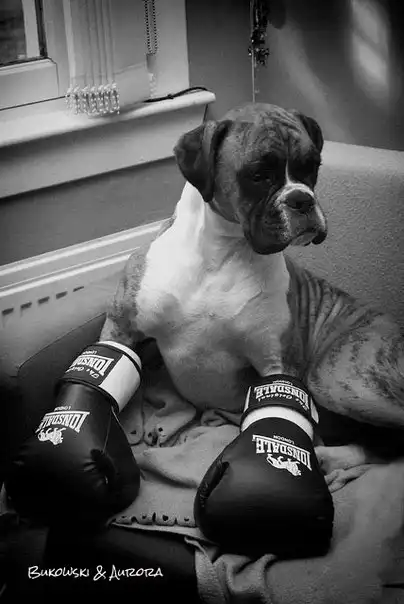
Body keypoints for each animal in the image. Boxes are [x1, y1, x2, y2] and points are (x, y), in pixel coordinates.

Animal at [100, 102, 404, 489]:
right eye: (259, 174)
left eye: (312, 167)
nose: (302, 199)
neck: (222, 253)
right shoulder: (121, 327)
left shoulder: (277, 365)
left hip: (336, 378)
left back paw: (331, 457)